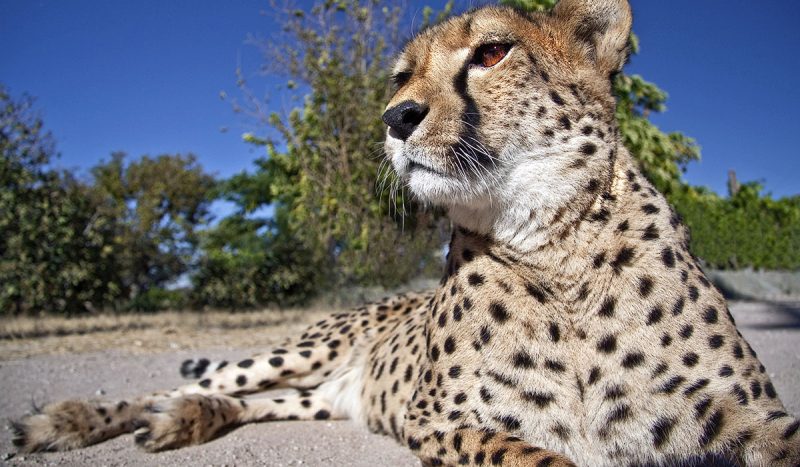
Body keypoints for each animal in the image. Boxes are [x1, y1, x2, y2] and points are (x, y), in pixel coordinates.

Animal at [9, 0, 800, 465]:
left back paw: (188, 417)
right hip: (304, 349)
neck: (555, 249)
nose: (396, 118)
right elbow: (534, 454)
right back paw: (74, 420)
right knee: (179, 384)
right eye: (399, 77)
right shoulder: (441, 417)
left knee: (253, 401)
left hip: (321, 393)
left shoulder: (743, 410)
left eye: (491, 53)